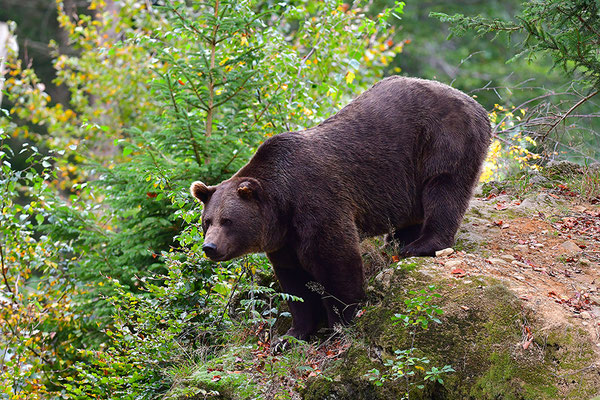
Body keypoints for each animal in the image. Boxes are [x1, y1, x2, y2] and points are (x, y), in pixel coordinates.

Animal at [190, 76, 490, 340]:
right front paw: (291, 334)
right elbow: (294, 283)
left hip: (442, 139)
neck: (282, 202)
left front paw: (342, 321)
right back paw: (398, 241)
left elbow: (335, 262)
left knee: (444, 187)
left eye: (228, 220)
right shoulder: (283, 237)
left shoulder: (316, 200)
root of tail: (475, 103)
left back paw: (421, 244)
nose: (210, 247)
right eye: (207, 221)